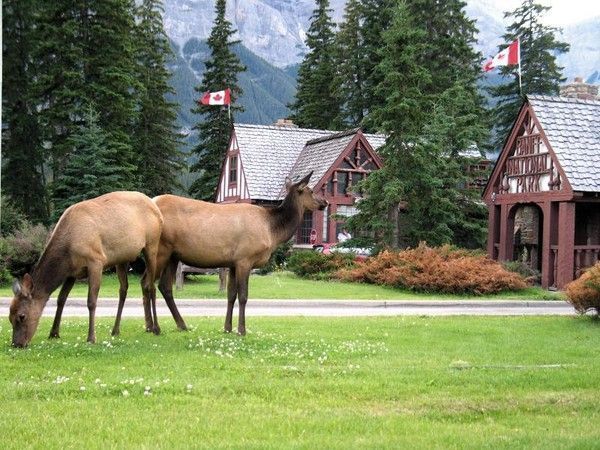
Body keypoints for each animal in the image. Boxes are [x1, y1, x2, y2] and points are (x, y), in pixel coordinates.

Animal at [9, 192, 164, 346]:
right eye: (10, 316)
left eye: (21, 316)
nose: (17, 344)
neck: (68, 251)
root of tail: (157, 210)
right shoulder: (72, 272)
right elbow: (61, 299)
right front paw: (54, 333)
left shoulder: (96, 261)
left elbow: (91, 301)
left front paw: (91, 337)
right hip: (122, 258)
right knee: (124, 289)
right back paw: (116, 330)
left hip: (152, 245)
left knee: (150, 286)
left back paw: (156, 328)